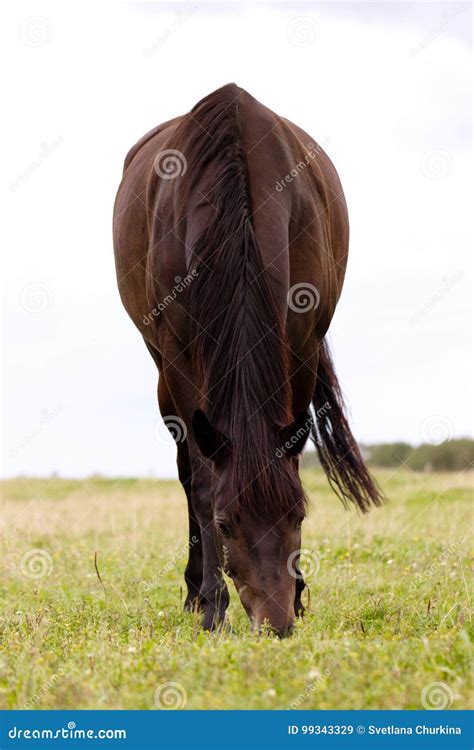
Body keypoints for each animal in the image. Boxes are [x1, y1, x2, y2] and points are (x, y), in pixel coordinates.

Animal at [114, 85, 382, 636]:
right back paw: (195, 592)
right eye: (226, 523)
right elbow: (202, 481)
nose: (275, 624)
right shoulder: (179, 359)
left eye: (297, 517)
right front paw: (212, 609)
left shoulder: (301, 344)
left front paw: (299, 595)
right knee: (186, 469)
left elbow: (293, 462)